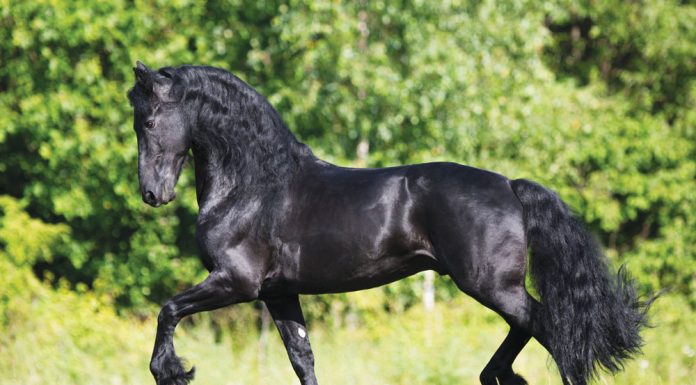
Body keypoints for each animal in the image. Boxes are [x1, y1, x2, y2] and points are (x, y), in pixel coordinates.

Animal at [128, 61, 648, 384]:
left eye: (149, 121)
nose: (152, 194)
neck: (254, 187)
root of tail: (509, 185)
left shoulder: (235, 282)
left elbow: (167, 310)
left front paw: (171, 371)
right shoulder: (279, 294)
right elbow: (303, 359)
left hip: (490, 285)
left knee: (550, 329)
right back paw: (497, 376)